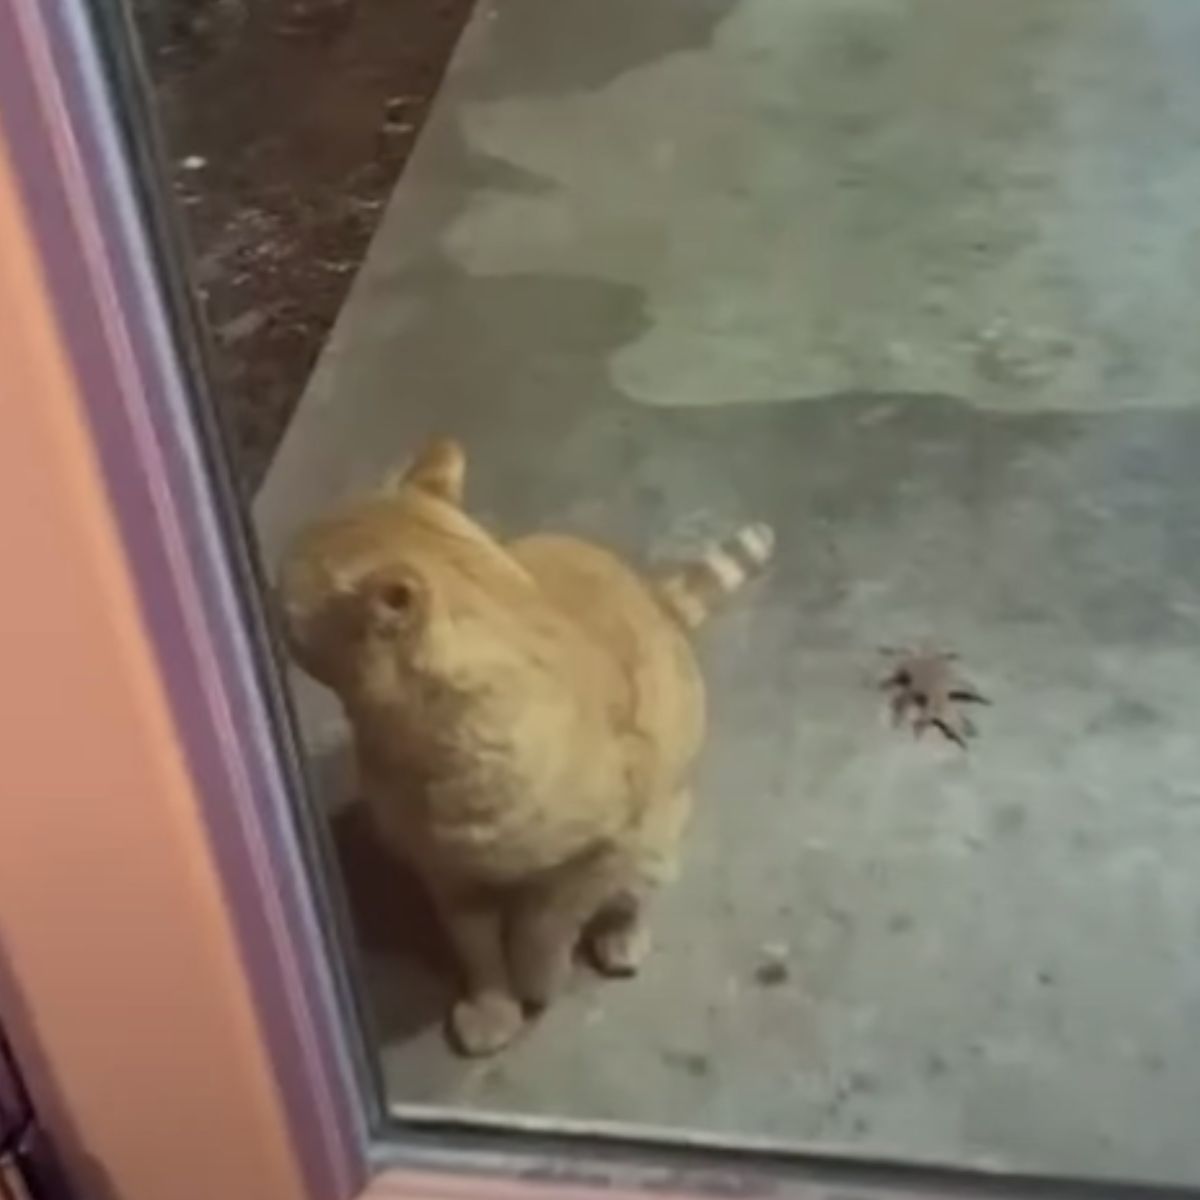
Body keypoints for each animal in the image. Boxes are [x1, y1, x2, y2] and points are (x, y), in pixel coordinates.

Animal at [277, 439, 772, 1051]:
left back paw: (621, 934)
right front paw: (495, 1006)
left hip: (660, 836)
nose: (264, 597)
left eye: (283, 604)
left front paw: (538, 978)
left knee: (636, 891)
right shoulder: (450, 878)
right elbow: (478, 949)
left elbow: (545, 926)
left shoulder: (603, 849)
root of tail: (649, 591)